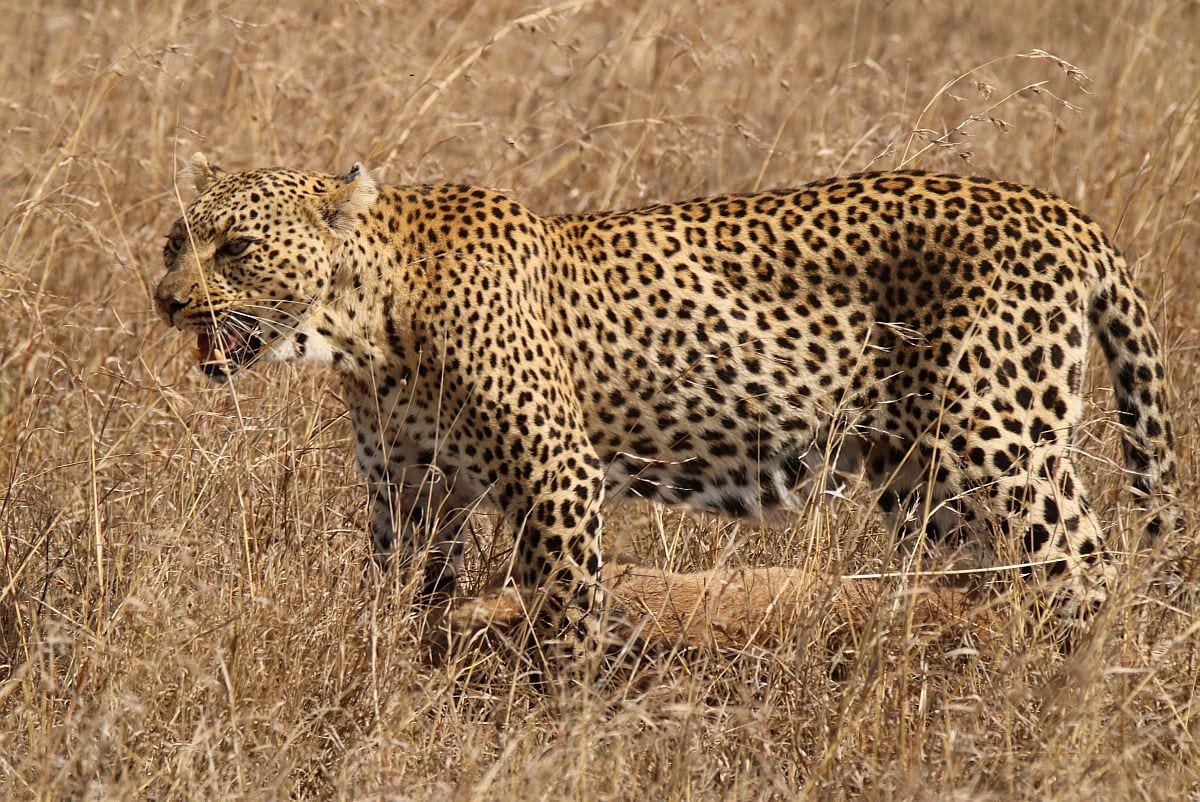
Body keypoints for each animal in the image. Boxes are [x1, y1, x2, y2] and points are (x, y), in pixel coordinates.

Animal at [154, 153, 1176, 648]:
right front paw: (396, 681)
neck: (364, 328)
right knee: (994, 577)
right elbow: (412, 599)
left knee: (1088, 565)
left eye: (235, 248)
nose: (163, 299)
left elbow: (565, 607)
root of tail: (1068, 215)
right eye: (175, 241)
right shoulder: (413, 495)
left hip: (999, 438)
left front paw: (563, 715)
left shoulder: (557, 473)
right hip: (920, 472)